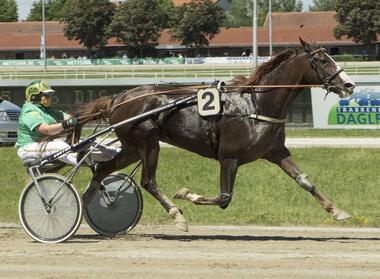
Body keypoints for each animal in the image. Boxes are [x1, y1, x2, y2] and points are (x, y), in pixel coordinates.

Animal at [75, 38, 356, 232]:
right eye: (323, 61)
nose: (349, 84)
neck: (256, 103)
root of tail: (118, 98)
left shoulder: (276, 151)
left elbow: (305, 181)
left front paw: (338, 211)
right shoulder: (229, 157)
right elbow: (223, 198)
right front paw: (186, 194)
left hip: (132, 148)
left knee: (102, 169)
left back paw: (81, 211)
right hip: (147, 143)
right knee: (148, 182)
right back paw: (177, 215)